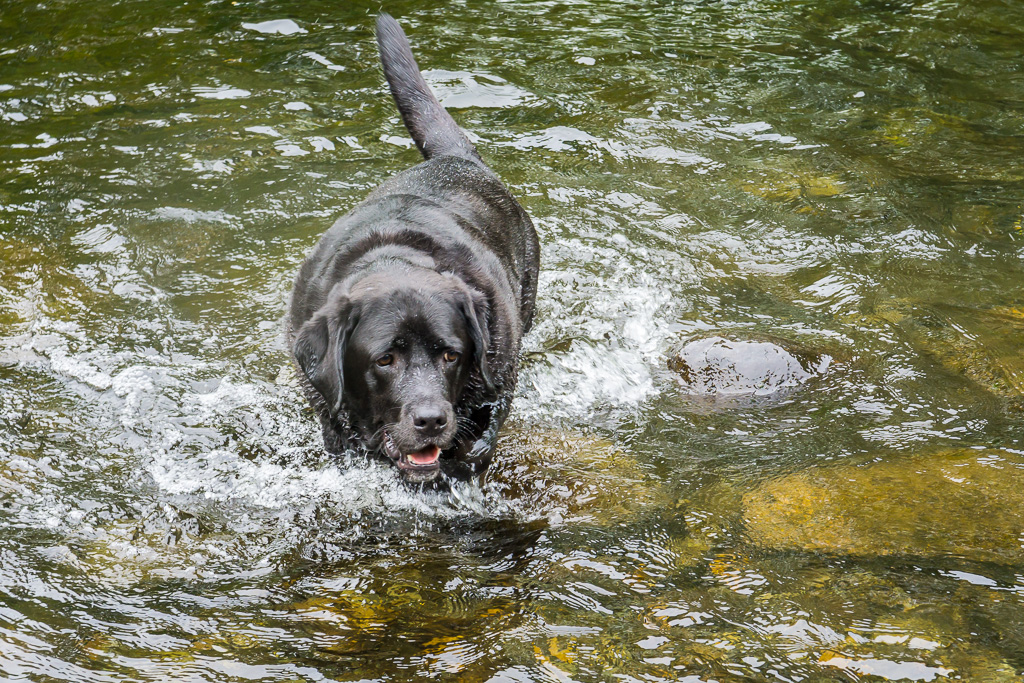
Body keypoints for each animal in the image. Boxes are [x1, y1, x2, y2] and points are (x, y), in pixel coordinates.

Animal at [286, 14, 540, 485]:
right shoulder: (327, 409)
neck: (396, 259)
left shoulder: (494, 388)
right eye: (384, 359)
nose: (431, 420)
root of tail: (461, 158)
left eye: (451, 355)